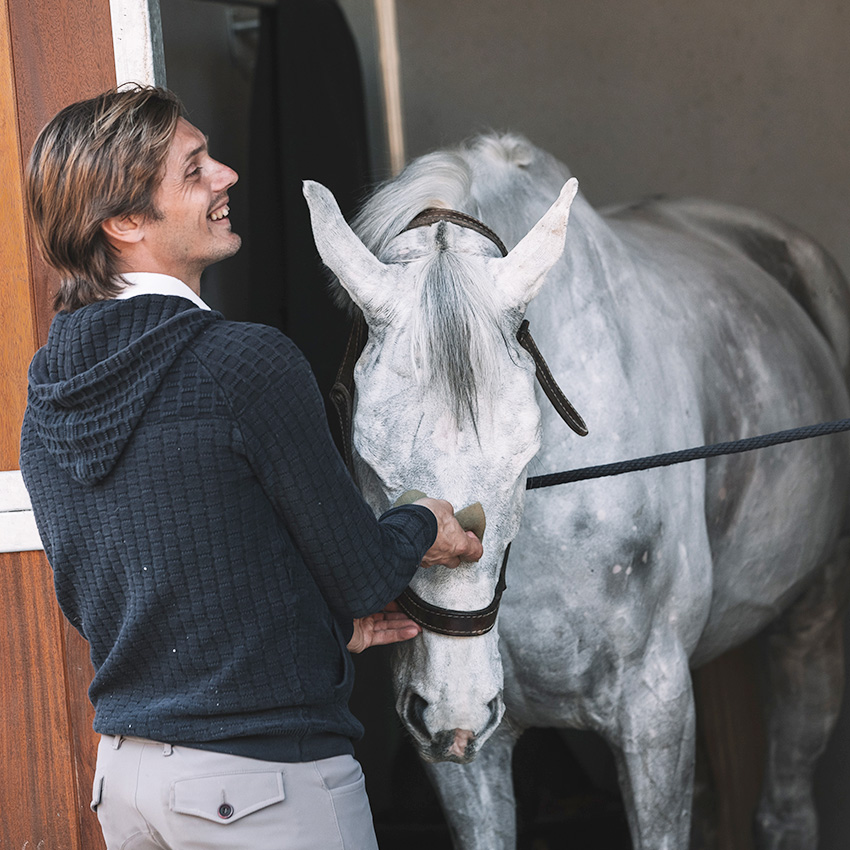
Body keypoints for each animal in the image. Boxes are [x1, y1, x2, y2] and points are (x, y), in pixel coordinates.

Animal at [302, 129, 848, 844]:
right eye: (366, 457)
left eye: (526, 453)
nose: (455, 706)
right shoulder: (468, 759)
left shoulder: (654, 711)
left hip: (810, 621)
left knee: (787, 805)